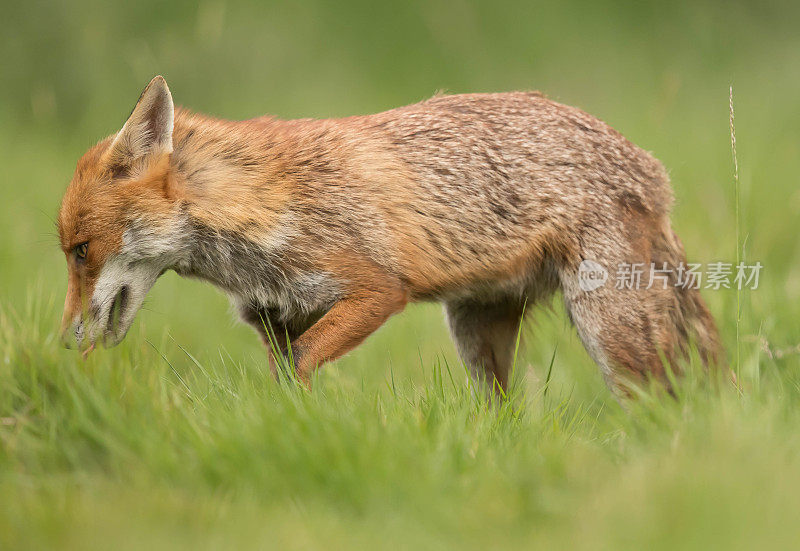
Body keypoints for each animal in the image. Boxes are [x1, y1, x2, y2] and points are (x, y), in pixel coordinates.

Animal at [59, 76, 720, 396]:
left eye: (81, 251)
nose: (64, 344)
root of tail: (649, 166)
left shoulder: (376, 291)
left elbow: (303, 365)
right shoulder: (275, 318)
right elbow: (283, 387)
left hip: (611, 332)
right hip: (476, 335)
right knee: (503, 415)